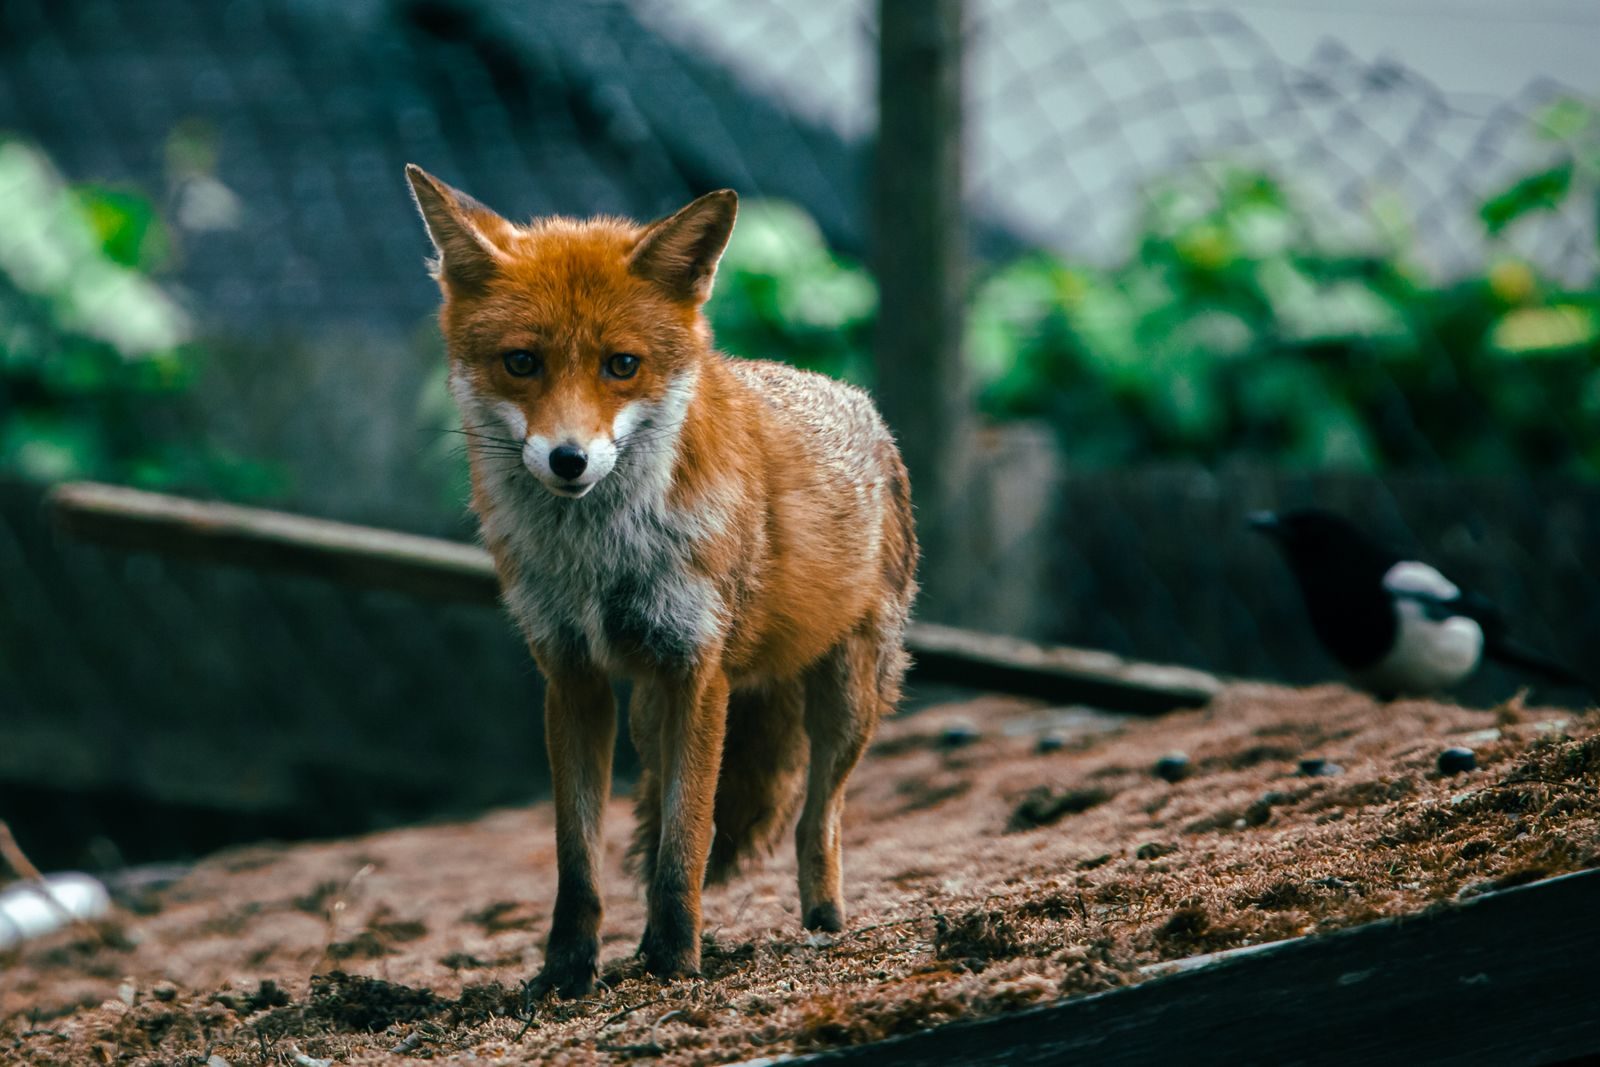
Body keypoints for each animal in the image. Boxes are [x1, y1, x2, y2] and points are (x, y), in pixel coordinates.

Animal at [404, 165, 918, 996]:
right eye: (522, 362)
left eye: (622, 364)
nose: (568, 460)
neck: (597, 560)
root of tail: (854, 398)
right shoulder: (573, 676)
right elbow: (577, 855)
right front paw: (567, 970)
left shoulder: (696, 671)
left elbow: (689, 837)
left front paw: (676, 958)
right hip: (649, 715)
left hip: (849, 699)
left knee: (819, 819)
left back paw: (822, 921)